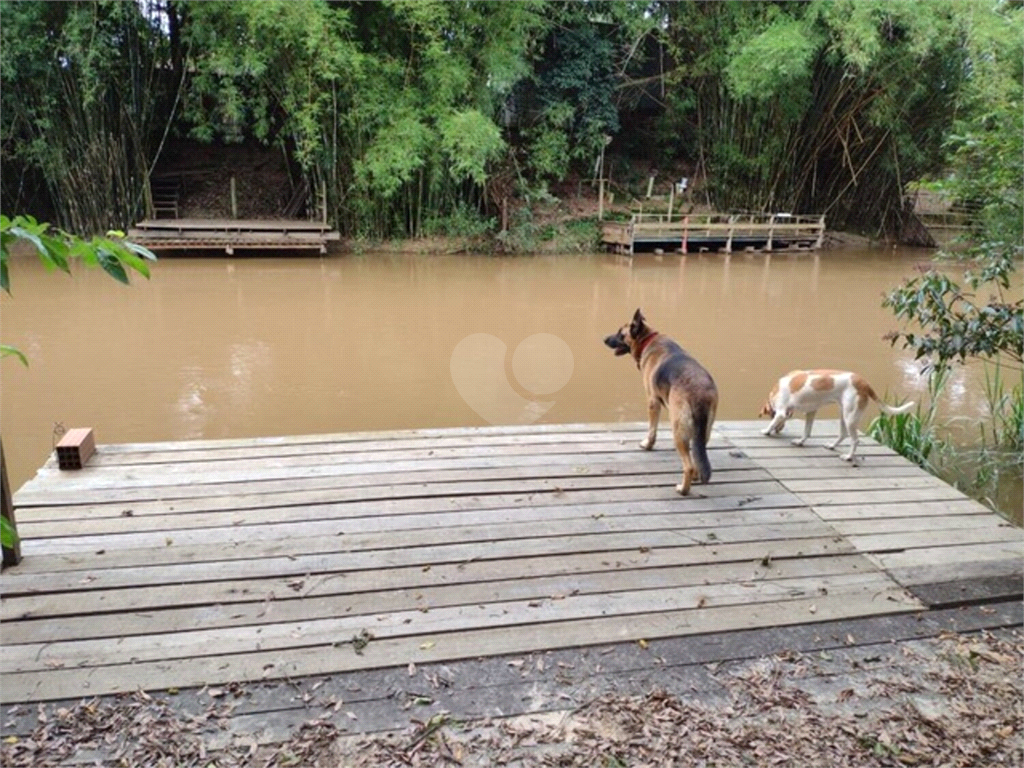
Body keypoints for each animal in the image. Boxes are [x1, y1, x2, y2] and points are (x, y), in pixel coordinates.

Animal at [598, 309, 720, 495]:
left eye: (621, 333)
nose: (604, 338)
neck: (648, 339)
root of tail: (699, 393)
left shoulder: (652, 401)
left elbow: (652, 430)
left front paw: (647, 445)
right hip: (703, 432)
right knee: (697, 458)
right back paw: (694, 478)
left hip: (678, 430)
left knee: (689, 465)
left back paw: (683, 489)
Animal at [757, 368, 917, 460]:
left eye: (771, 414)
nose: (777, 432)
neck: (775, 391)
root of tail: (864, 383)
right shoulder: (811, 412)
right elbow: (807, 432)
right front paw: (800, 442)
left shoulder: (781, 412)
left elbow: (773, 422)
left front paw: (766, 430)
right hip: (844, 415)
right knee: (843, 434)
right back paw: (832, 446)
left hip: (850, 418)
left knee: (855, 440)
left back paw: (848, 457)